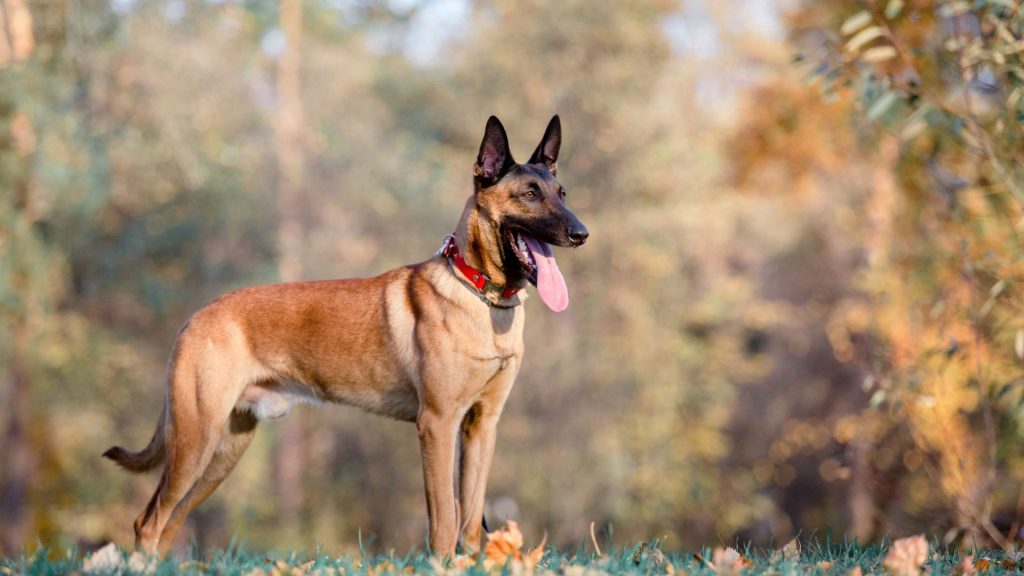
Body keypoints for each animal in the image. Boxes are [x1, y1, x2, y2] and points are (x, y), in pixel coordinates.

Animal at [103, 114, 589, 553]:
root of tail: (195, 317)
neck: (480, 295)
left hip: (223, 451)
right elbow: (445, 524)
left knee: (169, 524)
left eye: (562, 193)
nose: (581, 233)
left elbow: (470, 525)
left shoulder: (481, 426)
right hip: (195, 440)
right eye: (529, 194)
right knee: (148, 523)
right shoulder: (438, 425)